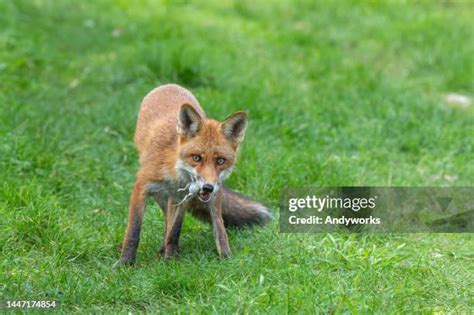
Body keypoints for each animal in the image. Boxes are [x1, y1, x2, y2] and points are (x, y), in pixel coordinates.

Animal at [118, 82, 270, 266]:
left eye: (220, 161)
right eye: (196, 158)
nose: (208, 187)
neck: (175, 175)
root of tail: (169, 85)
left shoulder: (184, 197)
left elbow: (175, 229)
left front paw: (171, 259)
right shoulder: (141, 186)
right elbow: (134, 231)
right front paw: (125, 263)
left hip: (204, 197)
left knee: (216, 225)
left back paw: (222, 255)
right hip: (161, 195)